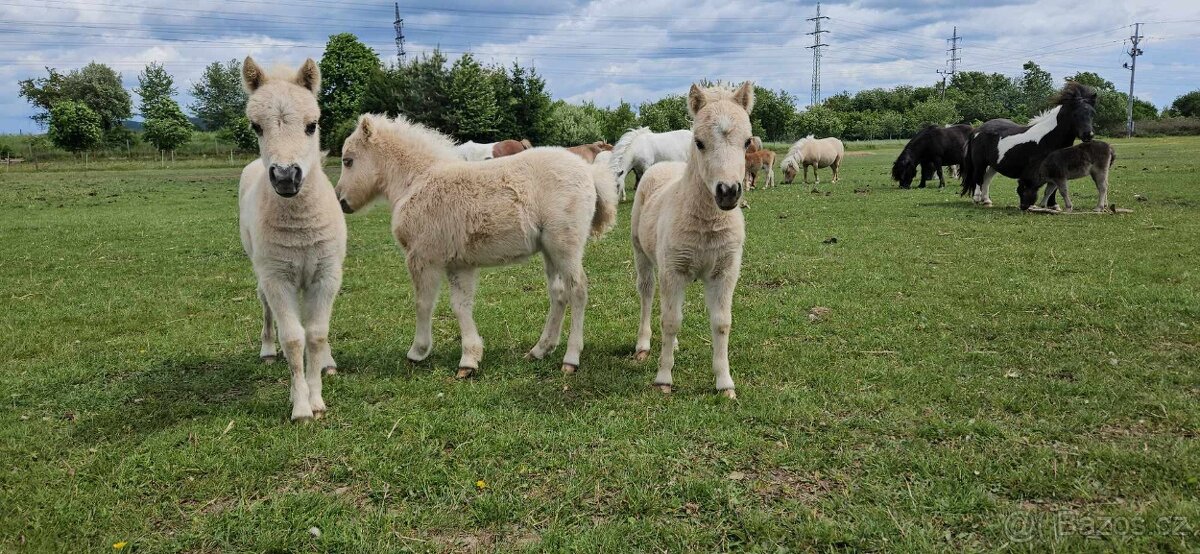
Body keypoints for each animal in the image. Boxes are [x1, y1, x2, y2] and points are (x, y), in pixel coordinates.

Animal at [237, 57, 346, 422]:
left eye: (312, 125)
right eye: (256, 126)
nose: (286, 177)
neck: (300, 225)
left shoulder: (326, 275)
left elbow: (315, 334)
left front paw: (317, 398)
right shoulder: (277, 277)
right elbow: (294, 339)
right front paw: (301, 406)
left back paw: (327, 362)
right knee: (266, 305)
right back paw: (269, 350)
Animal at [335, 115, 618, 378]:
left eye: (348, 160)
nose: (341, 202)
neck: (417, 181)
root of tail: (589, 171)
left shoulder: (422, 258)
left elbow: (423, 303)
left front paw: (418, 351)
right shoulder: (459, 264)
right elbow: (461, 306)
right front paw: (469, 360)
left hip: (565, 245)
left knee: (577, 289)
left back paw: (571, 358)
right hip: (550, 250)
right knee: (558, 293)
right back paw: (539, 350)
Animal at [630, 82, 755, 398]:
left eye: (747, 142)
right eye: (699, 142)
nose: (728, 191)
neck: (706, 225)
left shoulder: (725, 273)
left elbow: (721, 323)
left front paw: (725, 384)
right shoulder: (673, 271)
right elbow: (671, 320)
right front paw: (663, 378)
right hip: (642, 254)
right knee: (647, 293)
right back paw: (643, 345)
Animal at [960, 82, 1097, 209]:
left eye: (1092, 113)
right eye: (1075, 114)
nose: (1088, 135)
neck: (1049, 138)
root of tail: (978, 129)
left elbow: (1053, 188)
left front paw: (1054, 205)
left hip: (994, 164)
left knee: (987, 179)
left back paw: (986, 201)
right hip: (980, 162)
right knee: (978, 178)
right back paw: (977, 199)